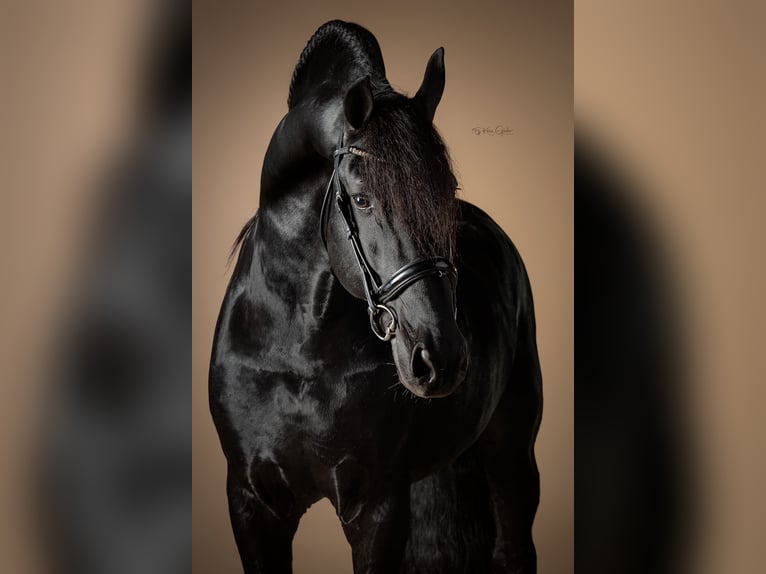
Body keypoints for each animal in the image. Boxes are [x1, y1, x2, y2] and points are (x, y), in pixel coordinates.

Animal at [209, 20, 542, 574]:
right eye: (362, 199)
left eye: (446, 192)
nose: (442, 358)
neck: (296, 347)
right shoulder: (252, 505)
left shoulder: (377, 507)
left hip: (512, 456)